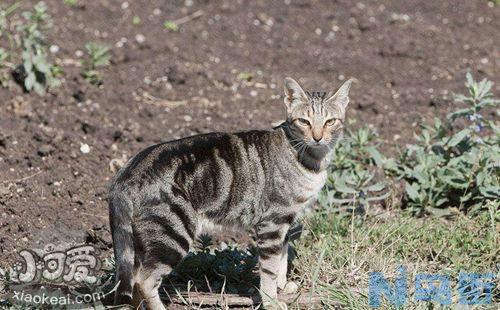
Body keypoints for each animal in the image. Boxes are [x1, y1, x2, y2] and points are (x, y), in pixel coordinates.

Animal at [108, 77, 352, 310]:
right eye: (304, 121)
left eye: (330, 121)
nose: (318, 137)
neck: (311, 160)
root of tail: (125, 174)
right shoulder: (273, 221)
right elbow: (270, 269)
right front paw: (272, 301)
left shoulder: (286, 222)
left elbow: (282, 256)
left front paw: (282, 286)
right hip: (173, 233)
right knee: (144, 280)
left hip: (143, 240)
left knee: (134, 278)